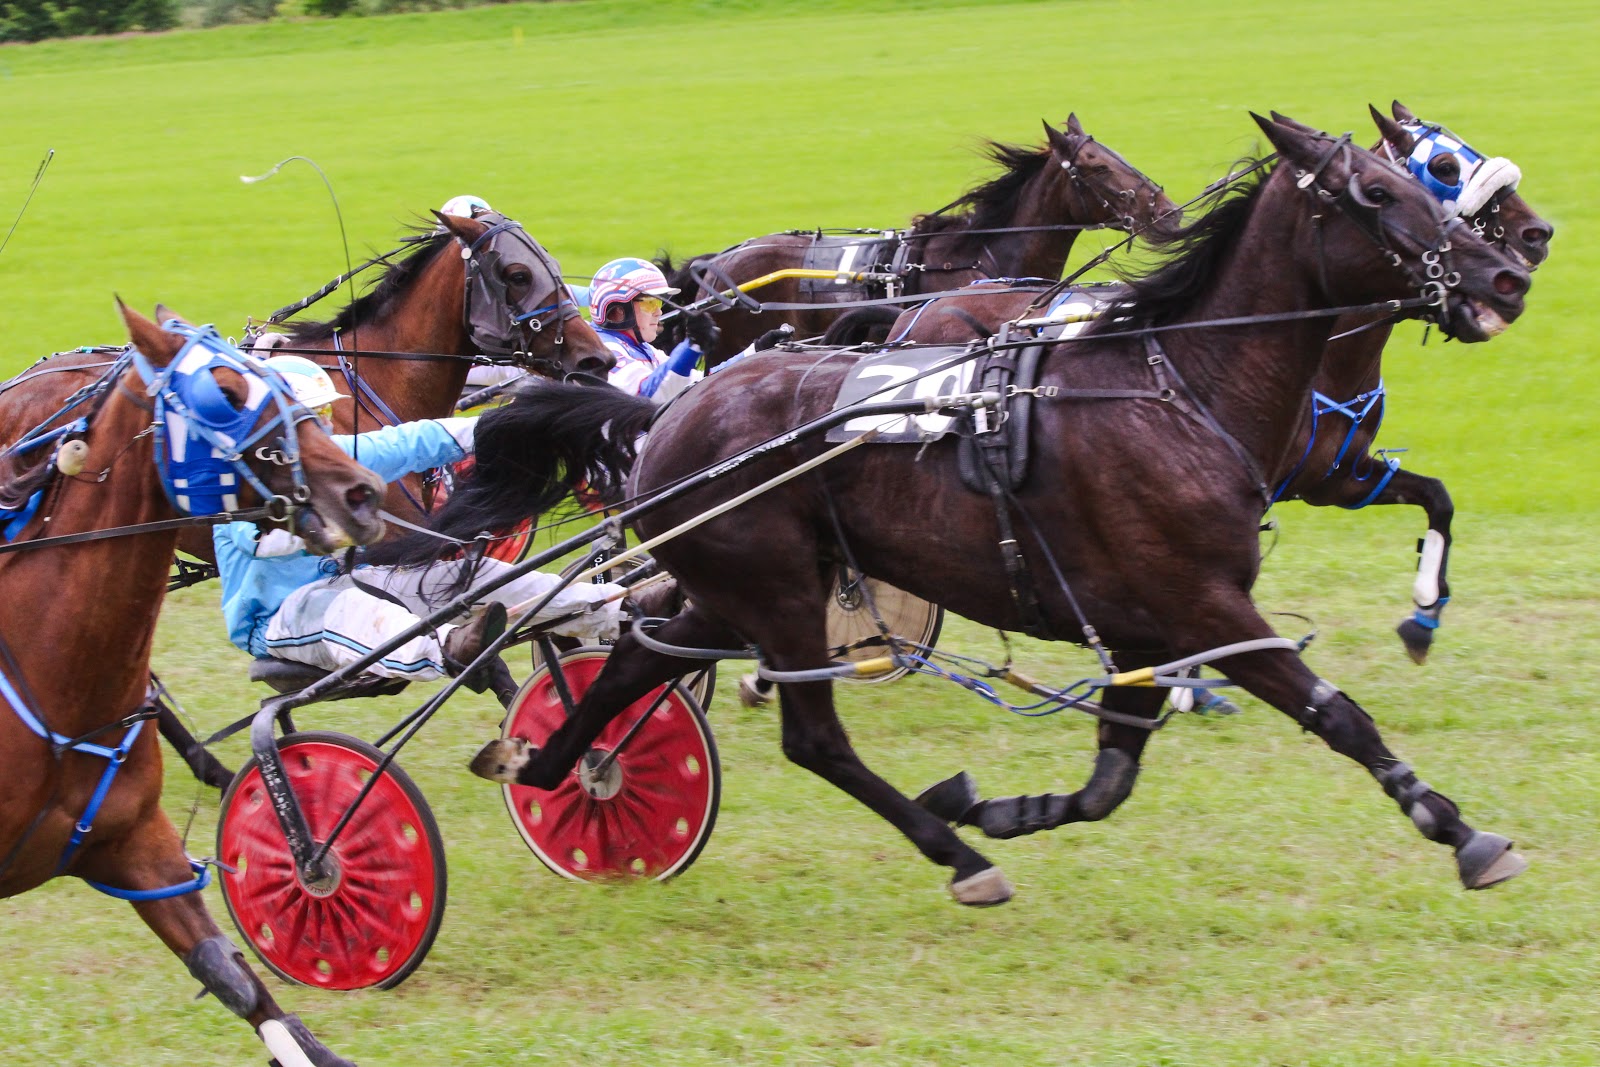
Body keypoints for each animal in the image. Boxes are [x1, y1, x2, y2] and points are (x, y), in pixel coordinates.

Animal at [889, 102, 1548, 668]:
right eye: (1444, 166)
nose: (1535, 237)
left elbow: (1437, 498)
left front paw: (1422, 616)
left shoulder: (1338, 476)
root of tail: (926, 309)